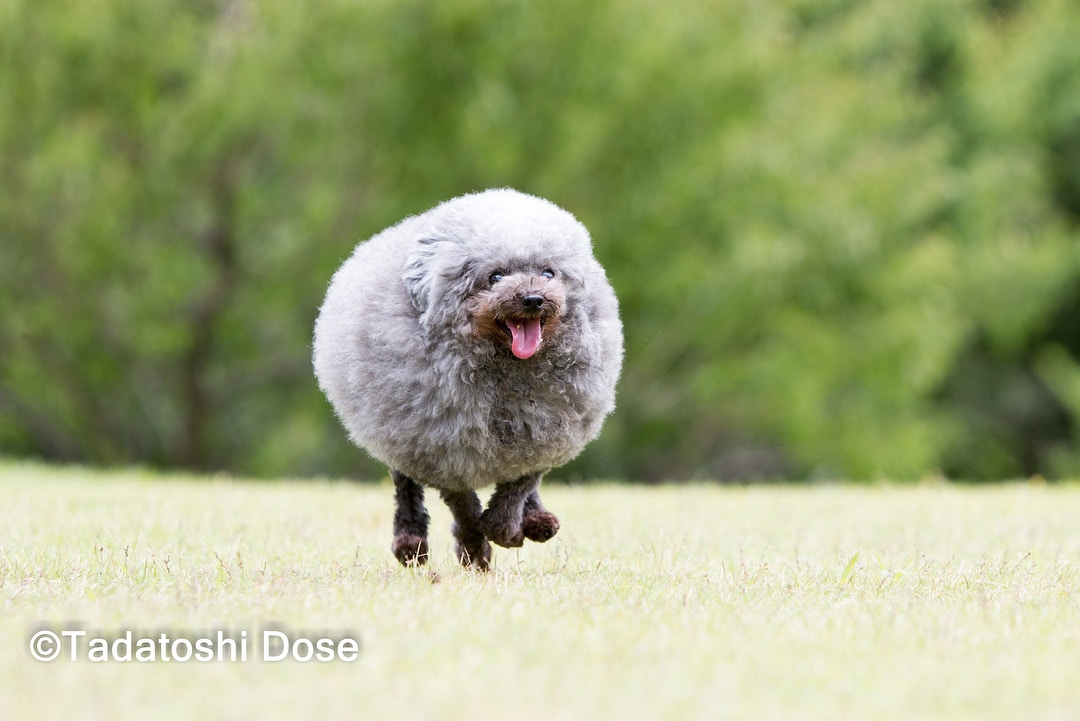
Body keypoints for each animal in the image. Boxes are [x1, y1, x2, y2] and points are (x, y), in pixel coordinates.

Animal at [313, 189, 622, 569]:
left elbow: (520, 484)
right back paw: (411, 543)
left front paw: (505, 528)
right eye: (495, 277)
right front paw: (477, 546)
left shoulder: (545, 432)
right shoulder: (443, 446)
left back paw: (537, 521)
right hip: (397, 431)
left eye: (549, 273)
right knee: (406, 485)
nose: (534, 299)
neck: (507, 372)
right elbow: (462, 504)